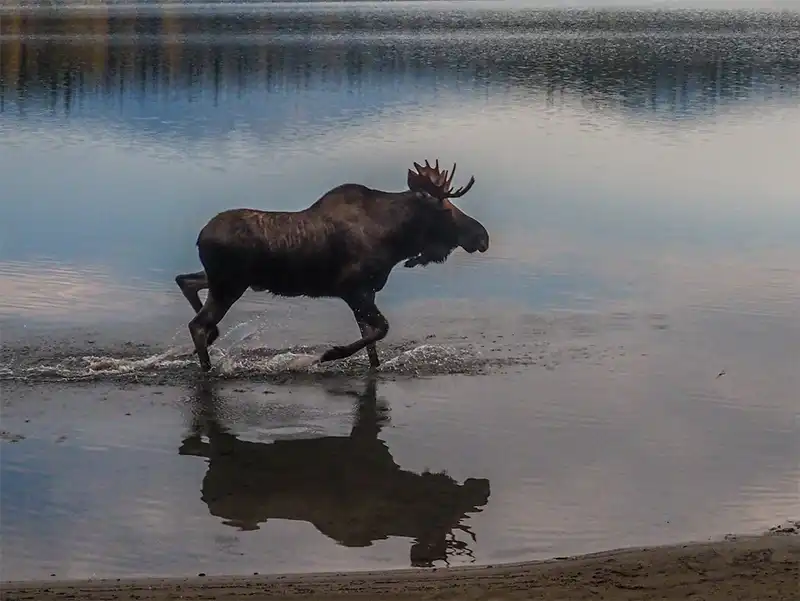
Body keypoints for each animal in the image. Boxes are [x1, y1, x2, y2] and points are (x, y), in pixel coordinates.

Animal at [175, 159, 489, 372]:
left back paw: (212, 338)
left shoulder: (366, 293)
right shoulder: (352, 289)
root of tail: (200, 237)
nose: (482, 236)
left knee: (185, 282)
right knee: (197, 324)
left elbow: (372, 343)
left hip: (224, 280)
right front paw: (330, 354)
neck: (396, 241)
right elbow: (381, 329)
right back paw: (208, 365)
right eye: (446, 210)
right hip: (229, 285)